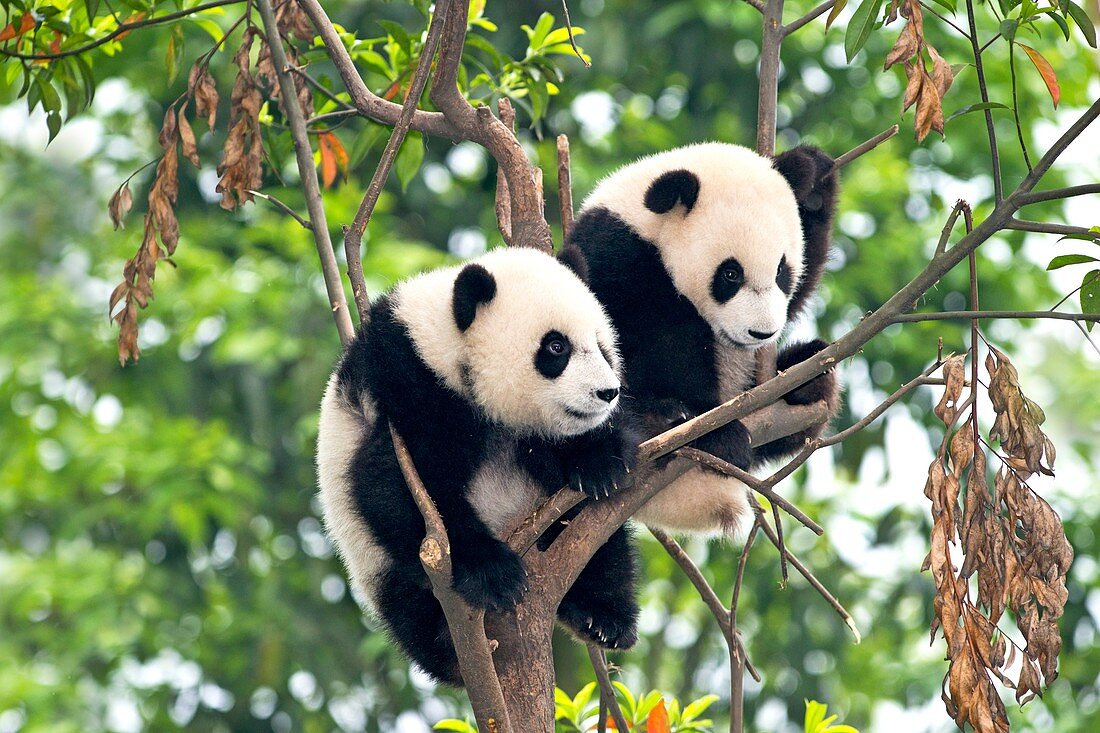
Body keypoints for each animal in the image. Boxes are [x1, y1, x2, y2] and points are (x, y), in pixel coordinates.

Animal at [314, 248, 642, 682]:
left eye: (602, 346)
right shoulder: (405, 385)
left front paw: (600, 463)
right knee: (408, 605)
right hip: (373, 561)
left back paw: (602, 616)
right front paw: (492, 572)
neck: (445, 347)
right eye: (557, 348)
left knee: (602, 543)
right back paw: (447, 646)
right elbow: (396, 486)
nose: (607, 392)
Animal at [567, 139, 840, 534]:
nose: (761, 332)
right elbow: (645, 347)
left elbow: (802, 285)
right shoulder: (615, 255)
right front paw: (710, 427)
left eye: (781, 270)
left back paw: (807, 378)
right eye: (730, 274)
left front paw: (814, 173)